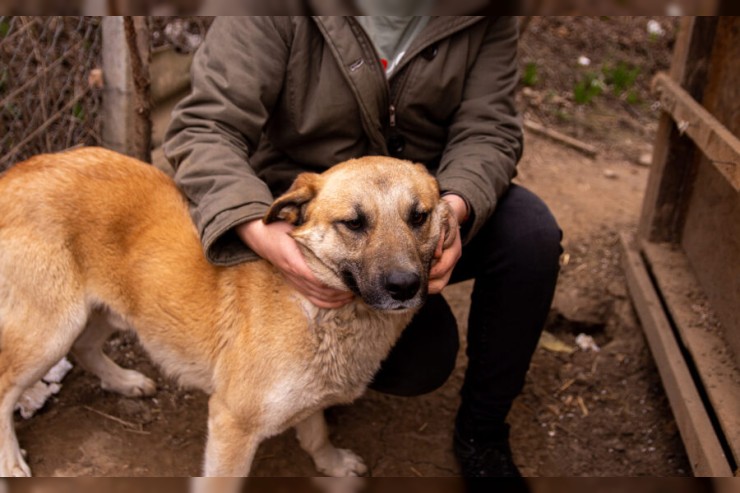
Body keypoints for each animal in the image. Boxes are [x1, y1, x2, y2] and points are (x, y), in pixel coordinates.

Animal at [0, 147, 456, 476]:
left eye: (419, 216)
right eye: (354, 223)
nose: (405, 286)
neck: (313, 307)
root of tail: (16, 172)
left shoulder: (309, 396)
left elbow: (316, 433)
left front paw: (332, 465)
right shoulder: (231, 422)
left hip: (103, 311)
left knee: (84, 348)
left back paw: (124, 381)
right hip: (51, 329)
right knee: (6, 387)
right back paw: (11, 462)